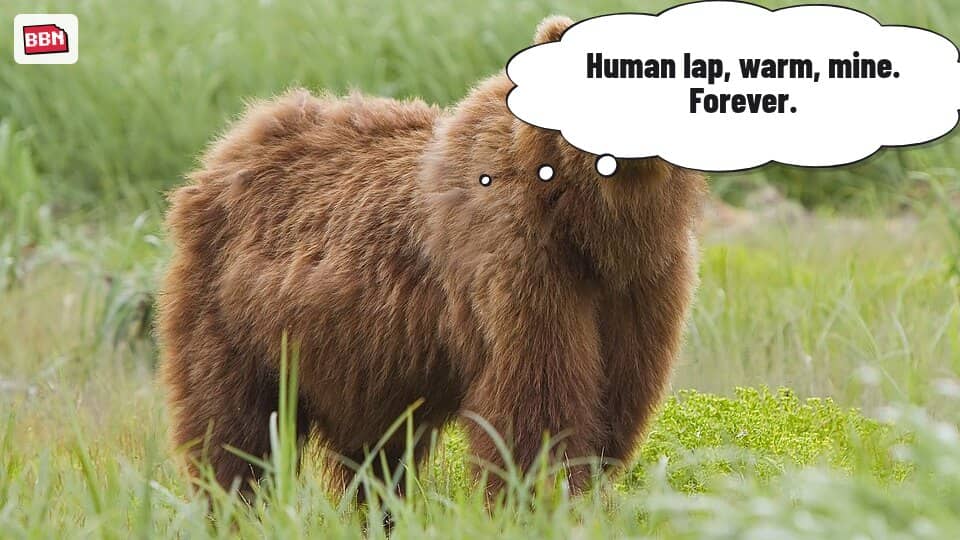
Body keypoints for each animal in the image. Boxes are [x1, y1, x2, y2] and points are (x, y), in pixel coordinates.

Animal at [157, 15, 706, 499]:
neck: (591, 227)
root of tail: (231, 142)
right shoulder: (519, 263)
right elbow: (536, 408)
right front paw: (541, 497)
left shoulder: (641, 284)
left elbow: (616, 403)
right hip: (234, 314)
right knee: (233, 429)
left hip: (361, 357)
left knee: (375, 455)